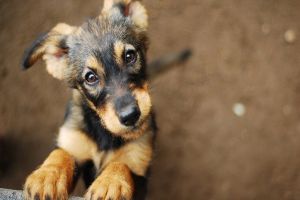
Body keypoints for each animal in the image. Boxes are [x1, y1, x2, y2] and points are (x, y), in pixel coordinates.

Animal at [21, 0, 190, 200]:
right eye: (90, 77)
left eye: (130, 56)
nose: (131, 116)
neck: (105, 134)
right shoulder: (73, 141)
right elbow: (61, 153)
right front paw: (47, 176)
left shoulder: (139, 165)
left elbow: (121, 164)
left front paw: (110, 183)